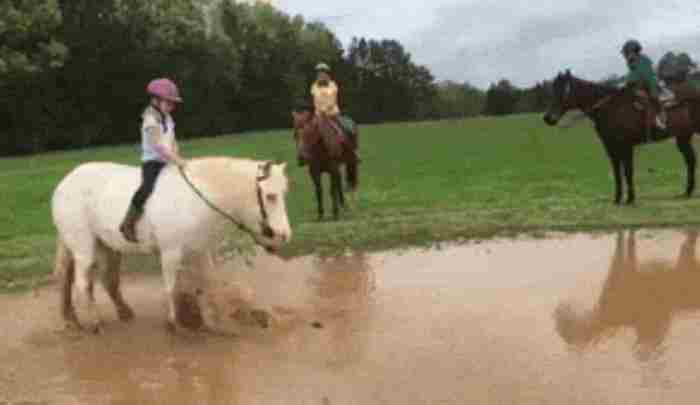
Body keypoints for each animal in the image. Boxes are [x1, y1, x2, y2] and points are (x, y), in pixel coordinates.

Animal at [50, 156, 288, 330]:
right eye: (270, 196)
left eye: (283, 193)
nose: (284, 235)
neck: (195, 200)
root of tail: (64, 183)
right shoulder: (170, 252)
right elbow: (170, 287)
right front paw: (175, 323)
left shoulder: (201, 251)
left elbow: (208, 284)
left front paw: (213, 321)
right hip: (84, 248)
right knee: (83, 283)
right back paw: (93, 322)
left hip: (106, 246)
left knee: (103, 280)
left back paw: (104, 315)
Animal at [544, 69, 700, 204]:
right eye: (553, 89)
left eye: (563, 90)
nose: (548, 118)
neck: (611, 108)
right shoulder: (611, 147)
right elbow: (617, 173)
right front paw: (617, 198)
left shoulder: (626, 146)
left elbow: (627, 171)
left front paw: (630, 198)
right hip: (683, 137)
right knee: (690, 160)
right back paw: (687, 192)